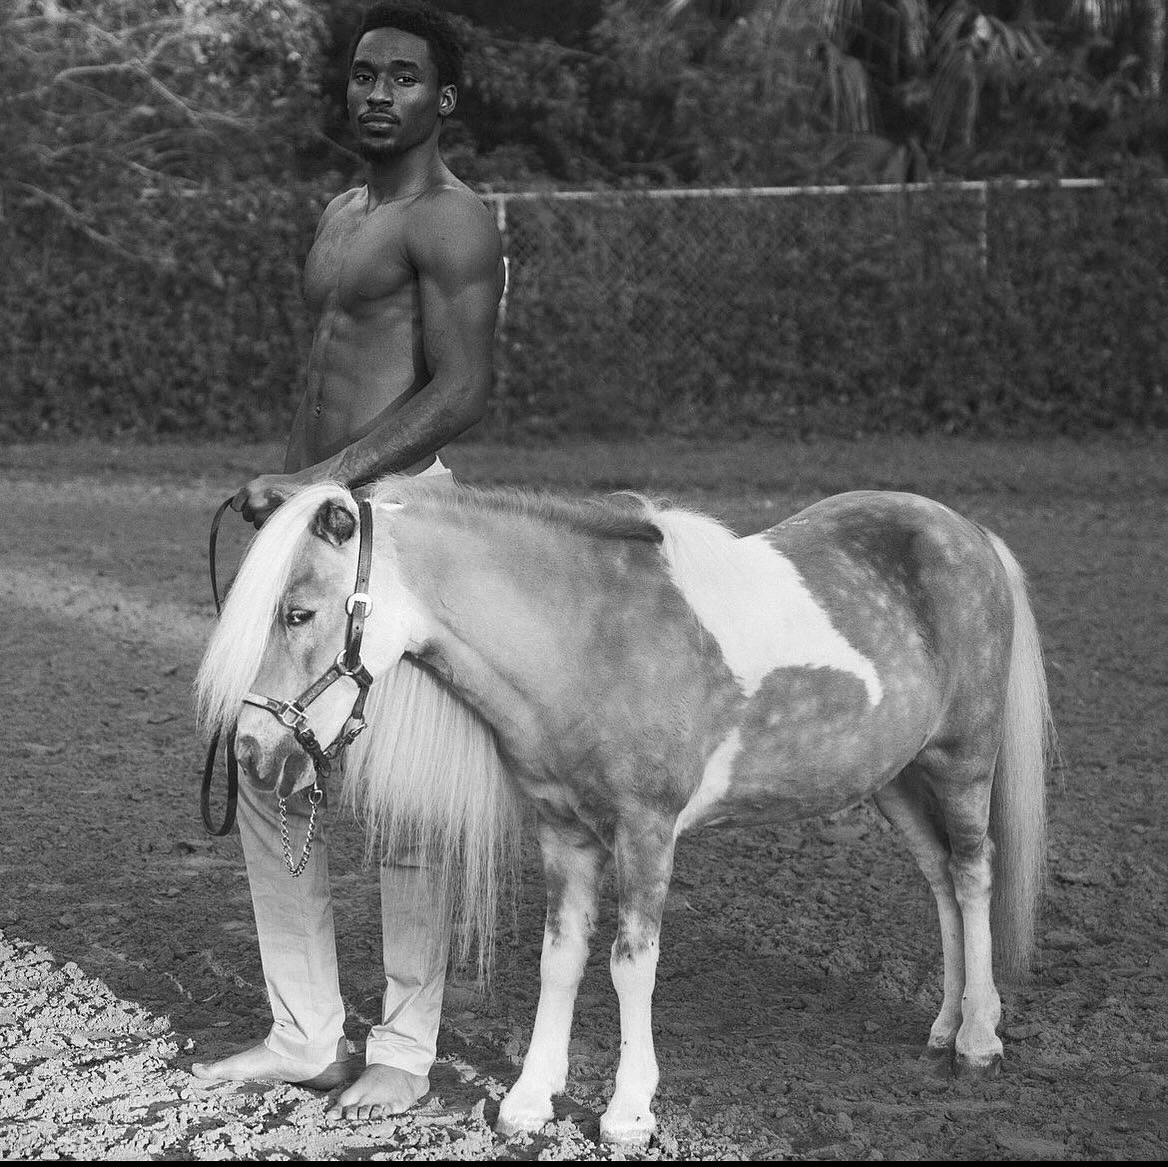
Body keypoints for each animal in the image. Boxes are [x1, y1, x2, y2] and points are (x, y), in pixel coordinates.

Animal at [195, 475, 1054, 1147]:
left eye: (298, 613)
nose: (251, 749)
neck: (587, 639)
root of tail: (967, 532)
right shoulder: (563, 832)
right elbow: (562, 958)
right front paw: (528, 1100)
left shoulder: (646, 830)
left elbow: (630, 963)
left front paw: (628, 1111)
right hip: (896, 778)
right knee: (940, 881)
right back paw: (943, 1026)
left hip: (962, 762)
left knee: (973, 873)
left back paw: (979, 1037)